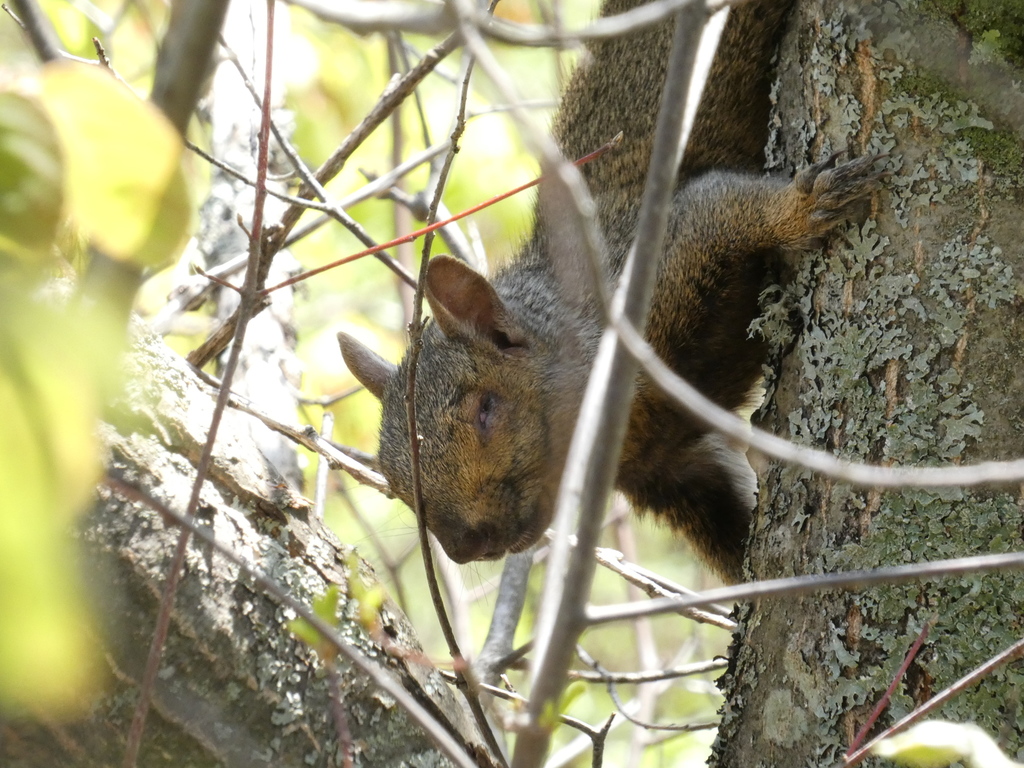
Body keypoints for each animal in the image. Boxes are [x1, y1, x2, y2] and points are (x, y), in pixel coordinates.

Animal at [337, 0, 883, 583]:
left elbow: (726, 204)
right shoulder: (672, 469)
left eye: (487, 409)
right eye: (394, 481)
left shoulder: (659, 255)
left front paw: (804, 206)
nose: (464, 546)